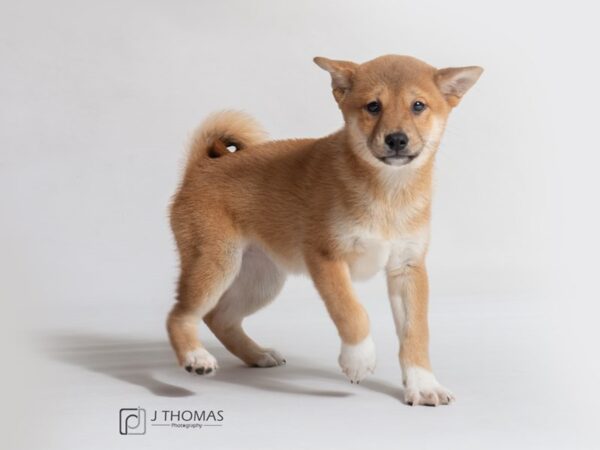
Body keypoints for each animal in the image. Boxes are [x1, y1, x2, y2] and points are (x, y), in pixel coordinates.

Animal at [168, 54, 482, 406]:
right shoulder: (326, 257)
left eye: (418, 105)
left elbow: (416, 332)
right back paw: (195, 357)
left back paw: (256, 354)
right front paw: (358, 358)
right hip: (216, 264)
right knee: (180, 314)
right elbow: (352, 312)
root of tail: (200, 167)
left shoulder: (407, 268)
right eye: (373, 106)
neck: (388, 192)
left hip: (261, 280)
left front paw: (423, 383)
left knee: (218, 318)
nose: (397, 139)